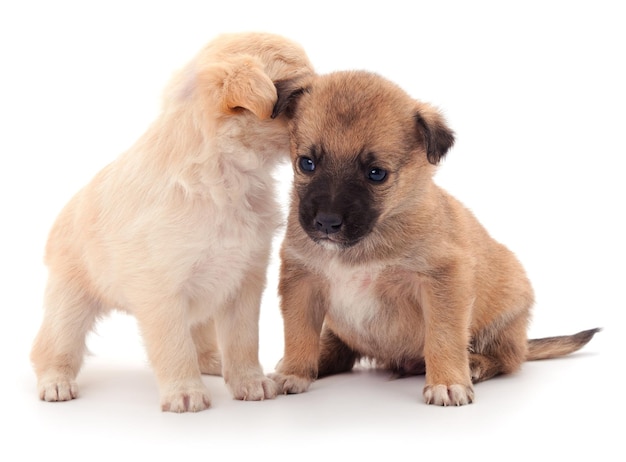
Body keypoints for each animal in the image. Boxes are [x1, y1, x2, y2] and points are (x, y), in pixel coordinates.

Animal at [29, 34, 312, 414]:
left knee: (201, 336)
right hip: (69, 302)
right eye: (300, 94)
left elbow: (242, 341)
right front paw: (185, 391)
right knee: (51, 346)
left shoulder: (244, 282)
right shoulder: (160, 291)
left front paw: (249, 382)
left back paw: (212, 361)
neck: (224, 175)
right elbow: (174, 347)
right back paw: (55, 382)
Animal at [270, 70, 600, 406]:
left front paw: (448, 382)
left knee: (508, 358)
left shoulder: (443, 280)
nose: (326, 222)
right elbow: (298, 332)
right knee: (338, 349)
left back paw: (476, 364)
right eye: (307, 163)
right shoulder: (302, 281)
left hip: (506, 321)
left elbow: (443, 336)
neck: (363, 246)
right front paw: (294, 372)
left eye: (376, 173)